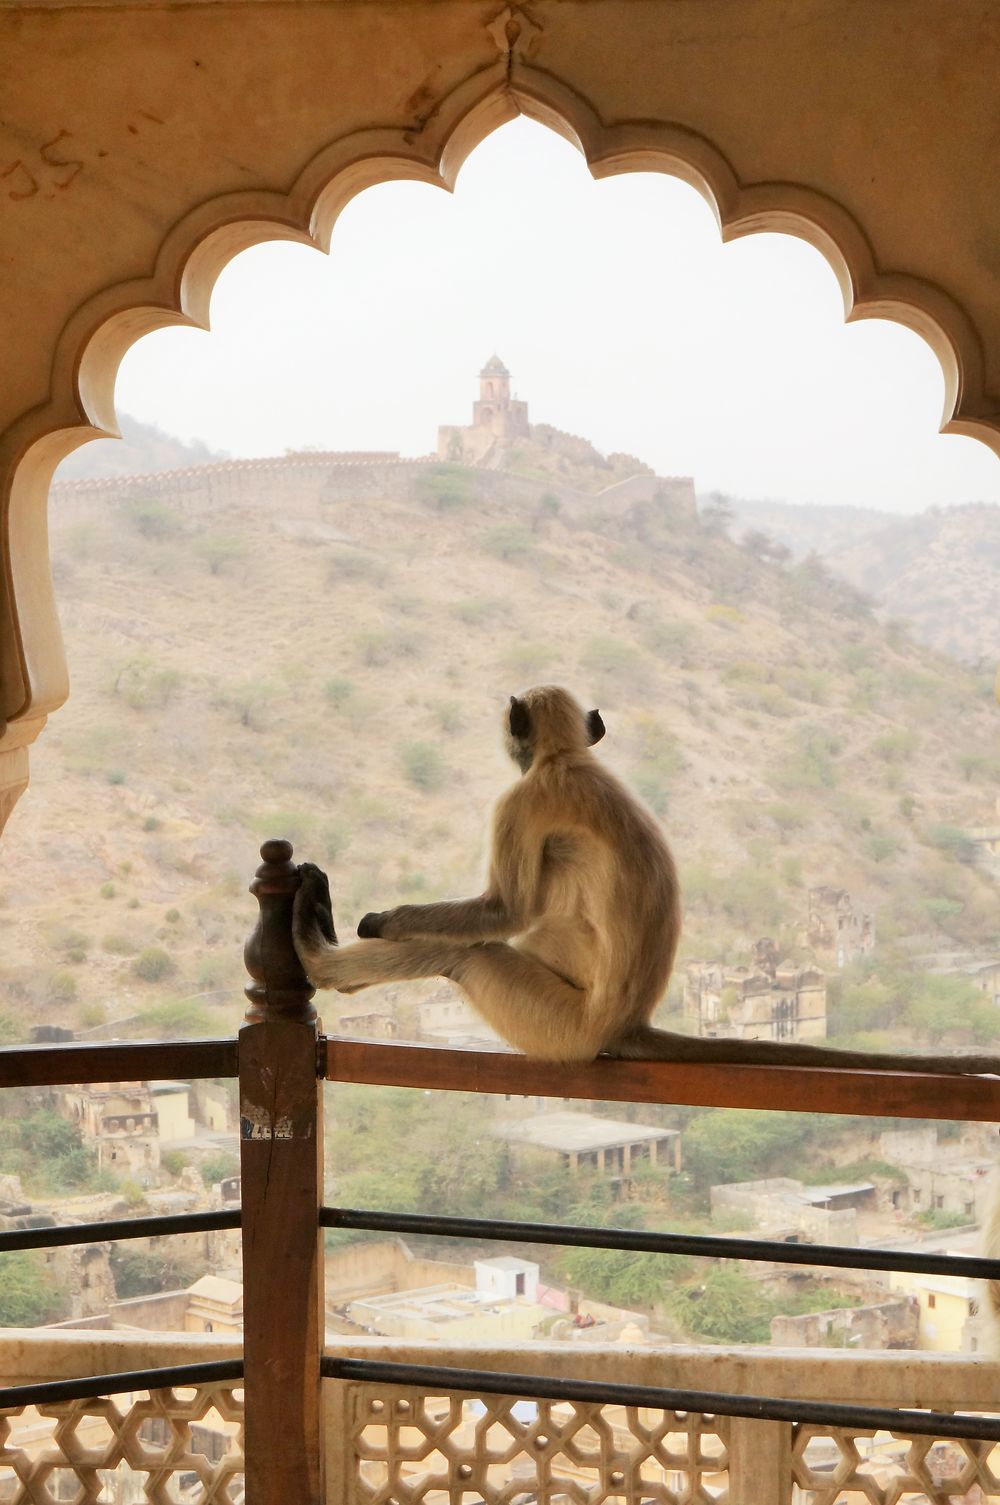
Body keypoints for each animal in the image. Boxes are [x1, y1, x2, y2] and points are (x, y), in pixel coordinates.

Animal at [290, 683, 1000, 1071]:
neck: (566, 760)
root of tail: (622, 1023)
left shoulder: (519, 802)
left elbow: (506, 911)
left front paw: (384, 920)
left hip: (557, 1024)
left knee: (470, 952)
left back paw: (319, 958)